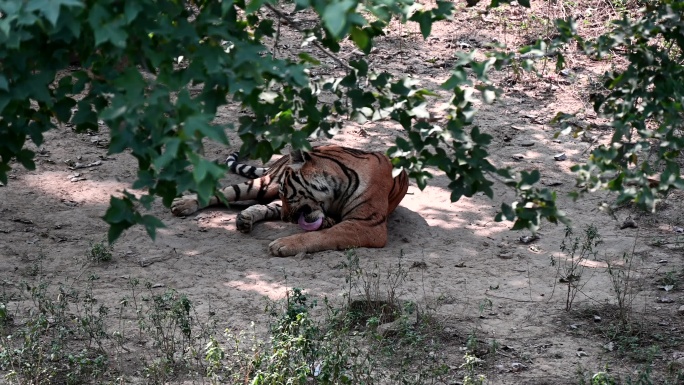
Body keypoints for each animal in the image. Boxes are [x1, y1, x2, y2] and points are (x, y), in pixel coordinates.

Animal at [171, 144, 408, 255]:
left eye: (287, 193)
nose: (286, 219)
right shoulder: (366, 225)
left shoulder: (367, 225)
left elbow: (323, 234)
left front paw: (283, 244)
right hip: (264, 185)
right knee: (227, 192)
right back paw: (183, 204)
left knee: (264, 206)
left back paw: (245, 219)